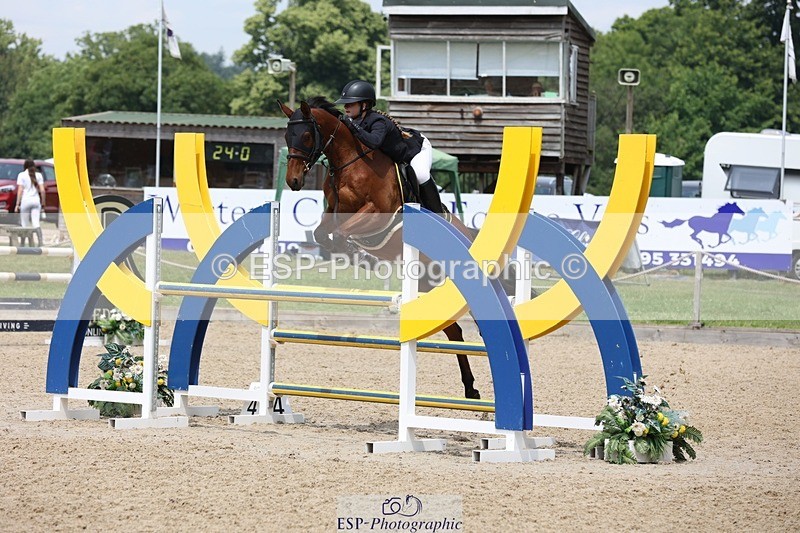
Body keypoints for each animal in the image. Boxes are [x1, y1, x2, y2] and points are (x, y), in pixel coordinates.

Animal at [280, 97, 486, 399]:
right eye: (287, 136)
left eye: (306, 135)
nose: (293, 182)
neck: (349, 163)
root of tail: (467, 234)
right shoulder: (333, 211)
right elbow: (322, 234)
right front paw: (357, 257)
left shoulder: (377, 213)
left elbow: (341, 233)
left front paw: (357, 253)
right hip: (429, 285)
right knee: (455, 333)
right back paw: (471, 389)